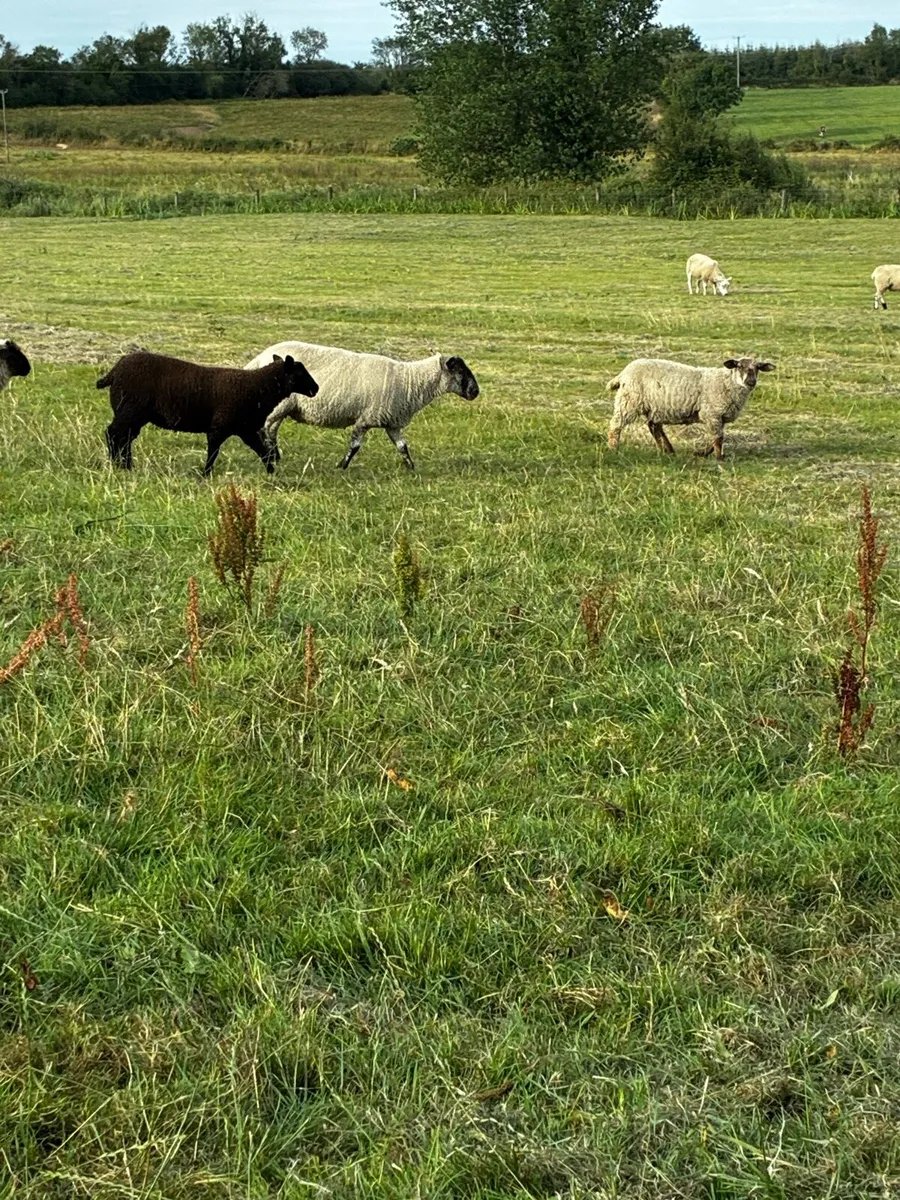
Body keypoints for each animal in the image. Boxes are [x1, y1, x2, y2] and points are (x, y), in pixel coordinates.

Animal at [97, 350, 318, 475]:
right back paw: (117, 464)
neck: (257, 388)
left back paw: (126, 466)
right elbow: (213, 451)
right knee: (113, 434)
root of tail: (114, 371)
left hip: (133, 414)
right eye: (299, 373)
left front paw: (272, 472)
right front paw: (206, 474)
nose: (315, 389)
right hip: (129, 410)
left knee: (125, 437)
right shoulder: (220, 426)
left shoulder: (245, 429)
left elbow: (261, 451)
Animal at [245, 341, 480, 470]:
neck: (409, 381)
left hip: (283, 407)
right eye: (460, 371)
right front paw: (342, 466)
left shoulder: (391, 422)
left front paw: (412, 468)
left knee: (271, 429)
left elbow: (403, 447)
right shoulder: (366, 419)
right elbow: (355, 446)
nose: (475, 392)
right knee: (266, 429)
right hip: (279, 405)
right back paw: (271, 455)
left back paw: (275, 455)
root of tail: (259, 358)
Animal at [606, 356, 775, 461]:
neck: (728, 382)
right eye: (739, 366)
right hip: (629, 401)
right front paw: (719, 458)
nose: (751, 382)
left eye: (758, 367)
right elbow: (718, 438)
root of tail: (623, 373)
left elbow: (718, 437)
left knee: (654, 427)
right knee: (616, 425)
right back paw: (613, 448)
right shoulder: (712, 413)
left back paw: (667, 450)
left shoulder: (719, 417)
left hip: (655, 407)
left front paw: (702, 453)